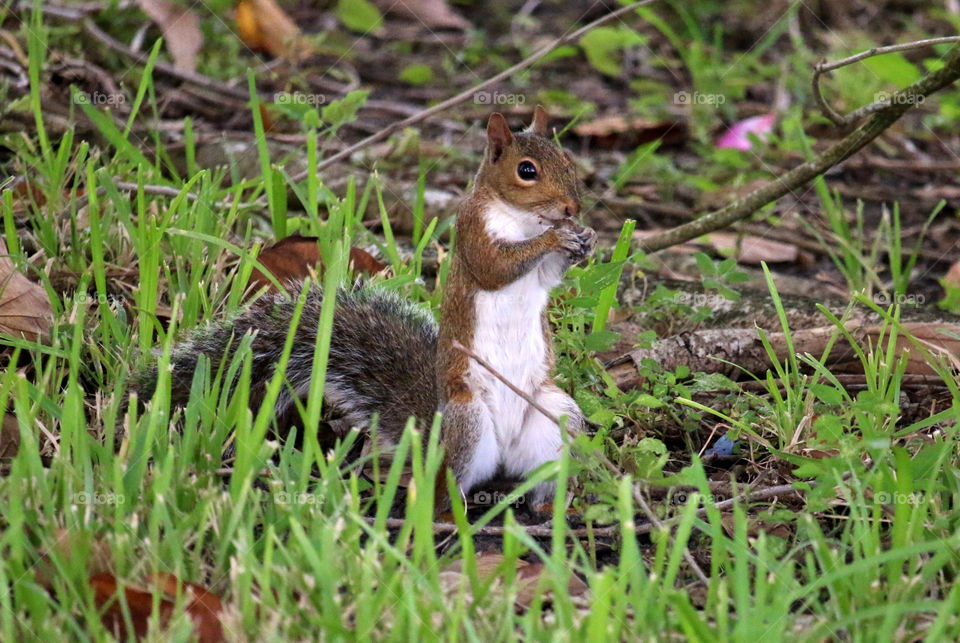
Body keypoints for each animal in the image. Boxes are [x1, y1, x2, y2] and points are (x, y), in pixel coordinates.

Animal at [131, 105, 596, 508]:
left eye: (569, 160)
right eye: (526, 171)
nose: (573, 208)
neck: (523, 219)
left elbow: (547, 278)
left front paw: (584, 238)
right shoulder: (471, 233)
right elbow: (495, 267)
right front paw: (557, 237)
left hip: (555, 418)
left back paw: (549, 504)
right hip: (469, 423)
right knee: (447, 486)